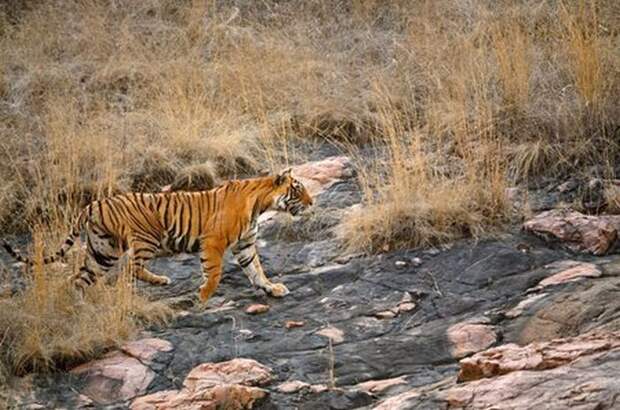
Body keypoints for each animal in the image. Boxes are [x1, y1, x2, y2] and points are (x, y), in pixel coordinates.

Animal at [2, 168, 314, 302]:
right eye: (297, 189)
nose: (312, 203)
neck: (260, 203)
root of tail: (92, 204)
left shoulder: (245, 244)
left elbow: (256, 270)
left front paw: (271, 288)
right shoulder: (213, 242)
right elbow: (214, 273)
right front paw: (204, 295)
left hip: (102, 251)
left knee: (80, 277)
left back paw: (79, 304)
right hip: (143, 239)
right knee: (132, 267)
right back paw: (162, 280)